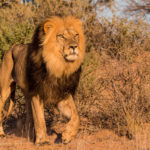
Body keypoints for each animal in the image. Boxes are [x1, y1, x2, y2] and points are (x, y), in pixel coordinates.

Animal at [0, 15, 84, 145]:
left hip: (27, 95)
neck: (59, 66)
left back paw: (29, 136)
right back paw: (2, 134)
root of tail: (13, 46)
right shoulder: (37, 93)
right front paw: (43, 141)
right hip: (5, 89)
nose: (74, 46)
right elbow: (40, 119)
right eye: (61, 36)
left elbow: (76, 116)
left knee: (29, 115)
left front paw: (67, 135)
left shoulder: (62, 95)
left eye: (76, 35)